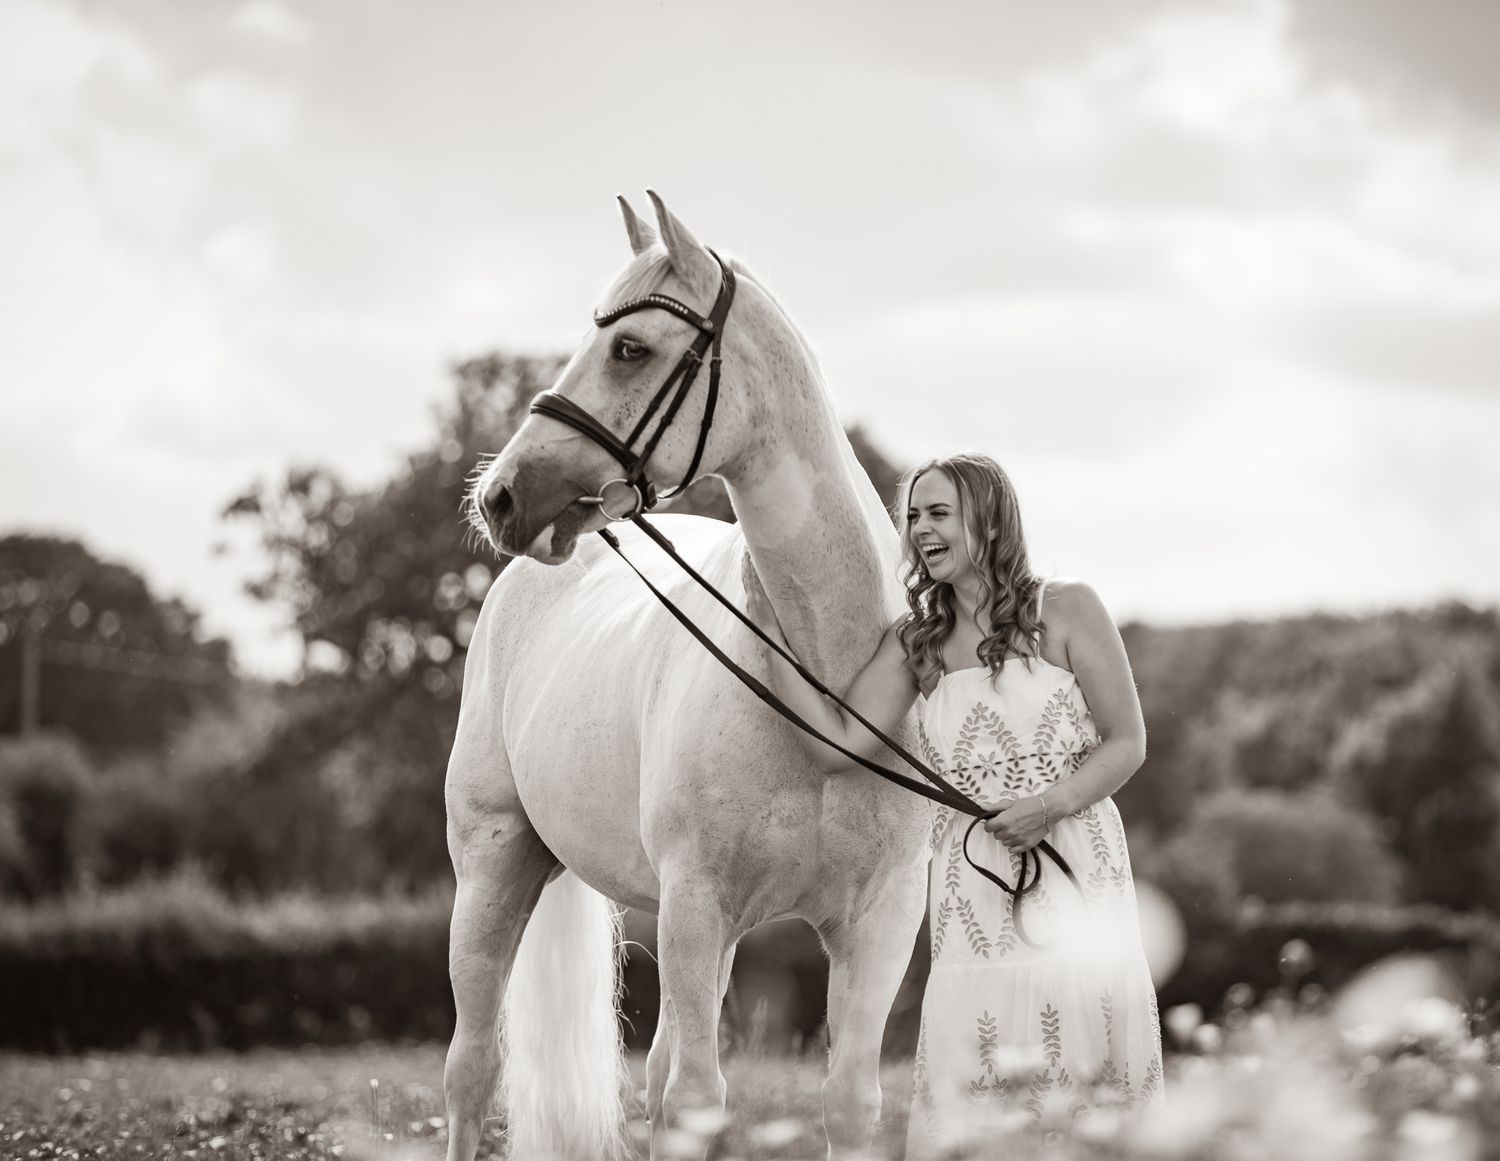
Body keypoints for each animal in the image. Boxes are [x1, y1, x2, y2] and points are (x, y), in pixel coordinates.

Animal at [446, 191, 933, 1161]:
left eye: (630, 348)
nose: (502, 497)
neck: (826, 689)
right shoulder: (695, 903)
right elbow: (700, 1096)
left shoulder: (879, 919)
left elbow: (848, 1100)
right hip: (491, 873)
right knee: (471, 1069)